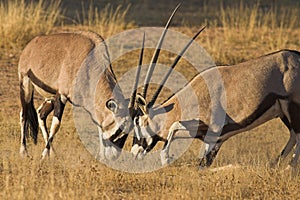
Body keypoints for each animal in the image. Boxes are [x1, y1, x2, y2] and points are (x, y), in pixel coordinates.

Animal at [132, 48, 300, 173]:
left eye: (137, 121)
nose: (134, 153)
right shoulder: (213, 140)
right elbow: (202, 166)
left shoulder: (214, 130)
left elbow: (175, 127)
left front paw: (166, 158)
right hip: (283, 113)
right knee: (293, 135)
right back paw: (274, 164)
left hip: (292, 107)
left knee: (298, 136)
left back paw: (288, 169)